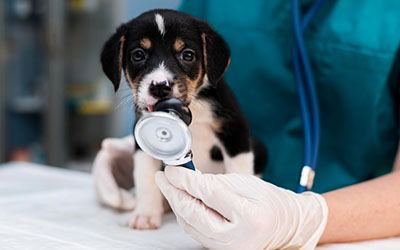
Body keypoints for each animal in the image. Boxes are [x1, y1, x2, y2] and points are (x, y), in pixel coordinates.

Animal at [101, 8, 268, 229]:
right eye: (138, 55)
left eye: (187, 55)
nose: (160, 86)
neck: (192, 108)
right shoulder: (141, 140)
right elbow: (145, 178)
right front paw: (145, 214)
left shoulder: (235, 130)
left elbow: (238, 172)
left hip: (259, 147)